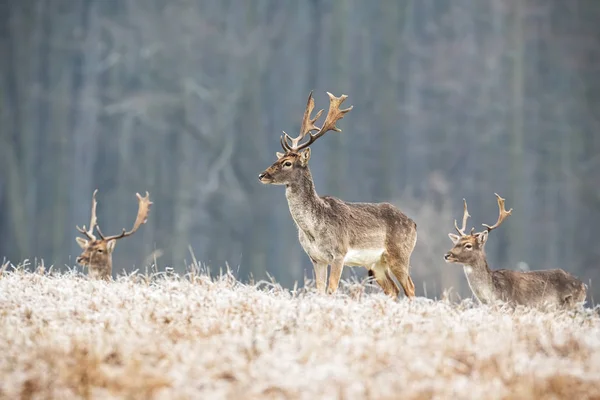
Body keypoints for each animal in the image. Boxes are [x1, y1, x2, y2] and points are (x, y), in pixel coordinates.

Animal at [258, 90, 418, 296]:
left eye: (287, 163)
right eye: (278, 159)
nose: (262, 175)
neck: (313, 230)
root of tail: (413, 224)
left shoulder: (339, 253)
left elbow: (331, 289)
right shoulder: (316, 258)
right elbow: (319, 290)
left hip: (400, 253)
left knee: (410, 288)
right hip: (376, 263)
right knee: (393, 289)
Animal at [446, 194, 584, 310]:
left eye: (468, 245)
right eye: (456, 243)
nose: (447, 255)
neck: (491, 294)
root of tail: (583, 286)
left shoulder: (513, 305)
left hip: (570, 305)